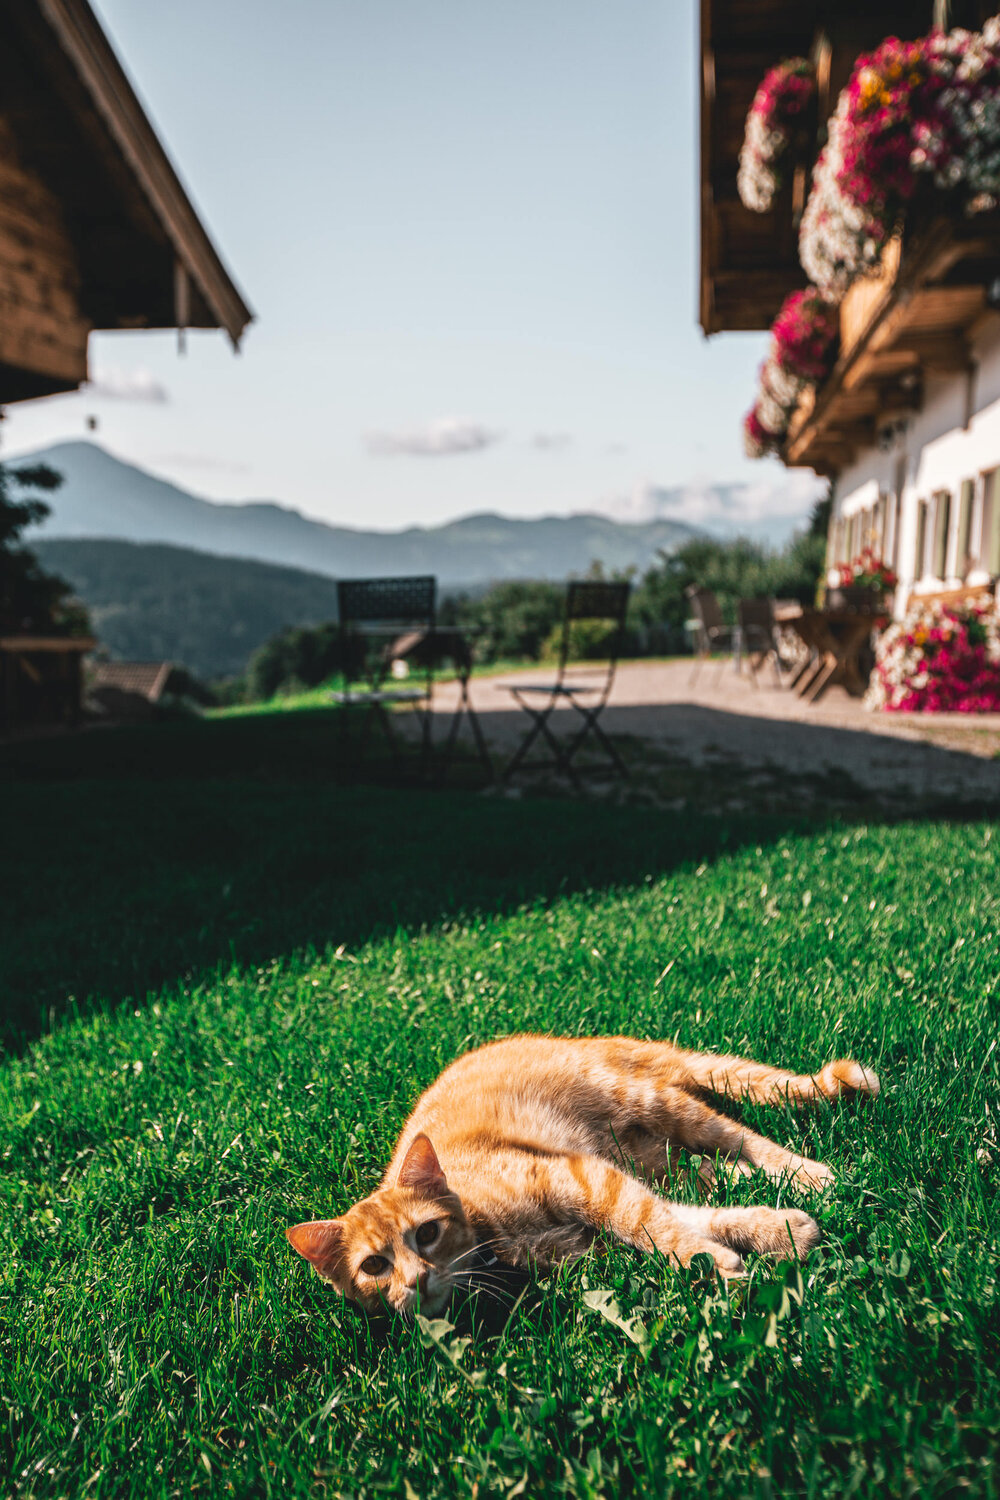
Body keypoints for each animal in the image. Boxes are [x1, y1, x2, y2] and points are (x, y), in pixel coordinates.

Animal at [287, 1038, 875, 1320]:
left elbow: (651, 1225)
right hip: (650, 1154)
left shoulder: (584, 1179)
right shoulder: (601, 1206)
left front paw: (714, 1266)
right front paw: (776, 1233)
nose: (416, 1281)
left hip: (654, 1104)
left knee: (741, 1137)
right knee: (710, 1172)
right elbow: (684, 1219)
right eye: (374, 1267)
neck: (492, 1239)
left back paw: (809, 1175)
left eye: (426, 1234)